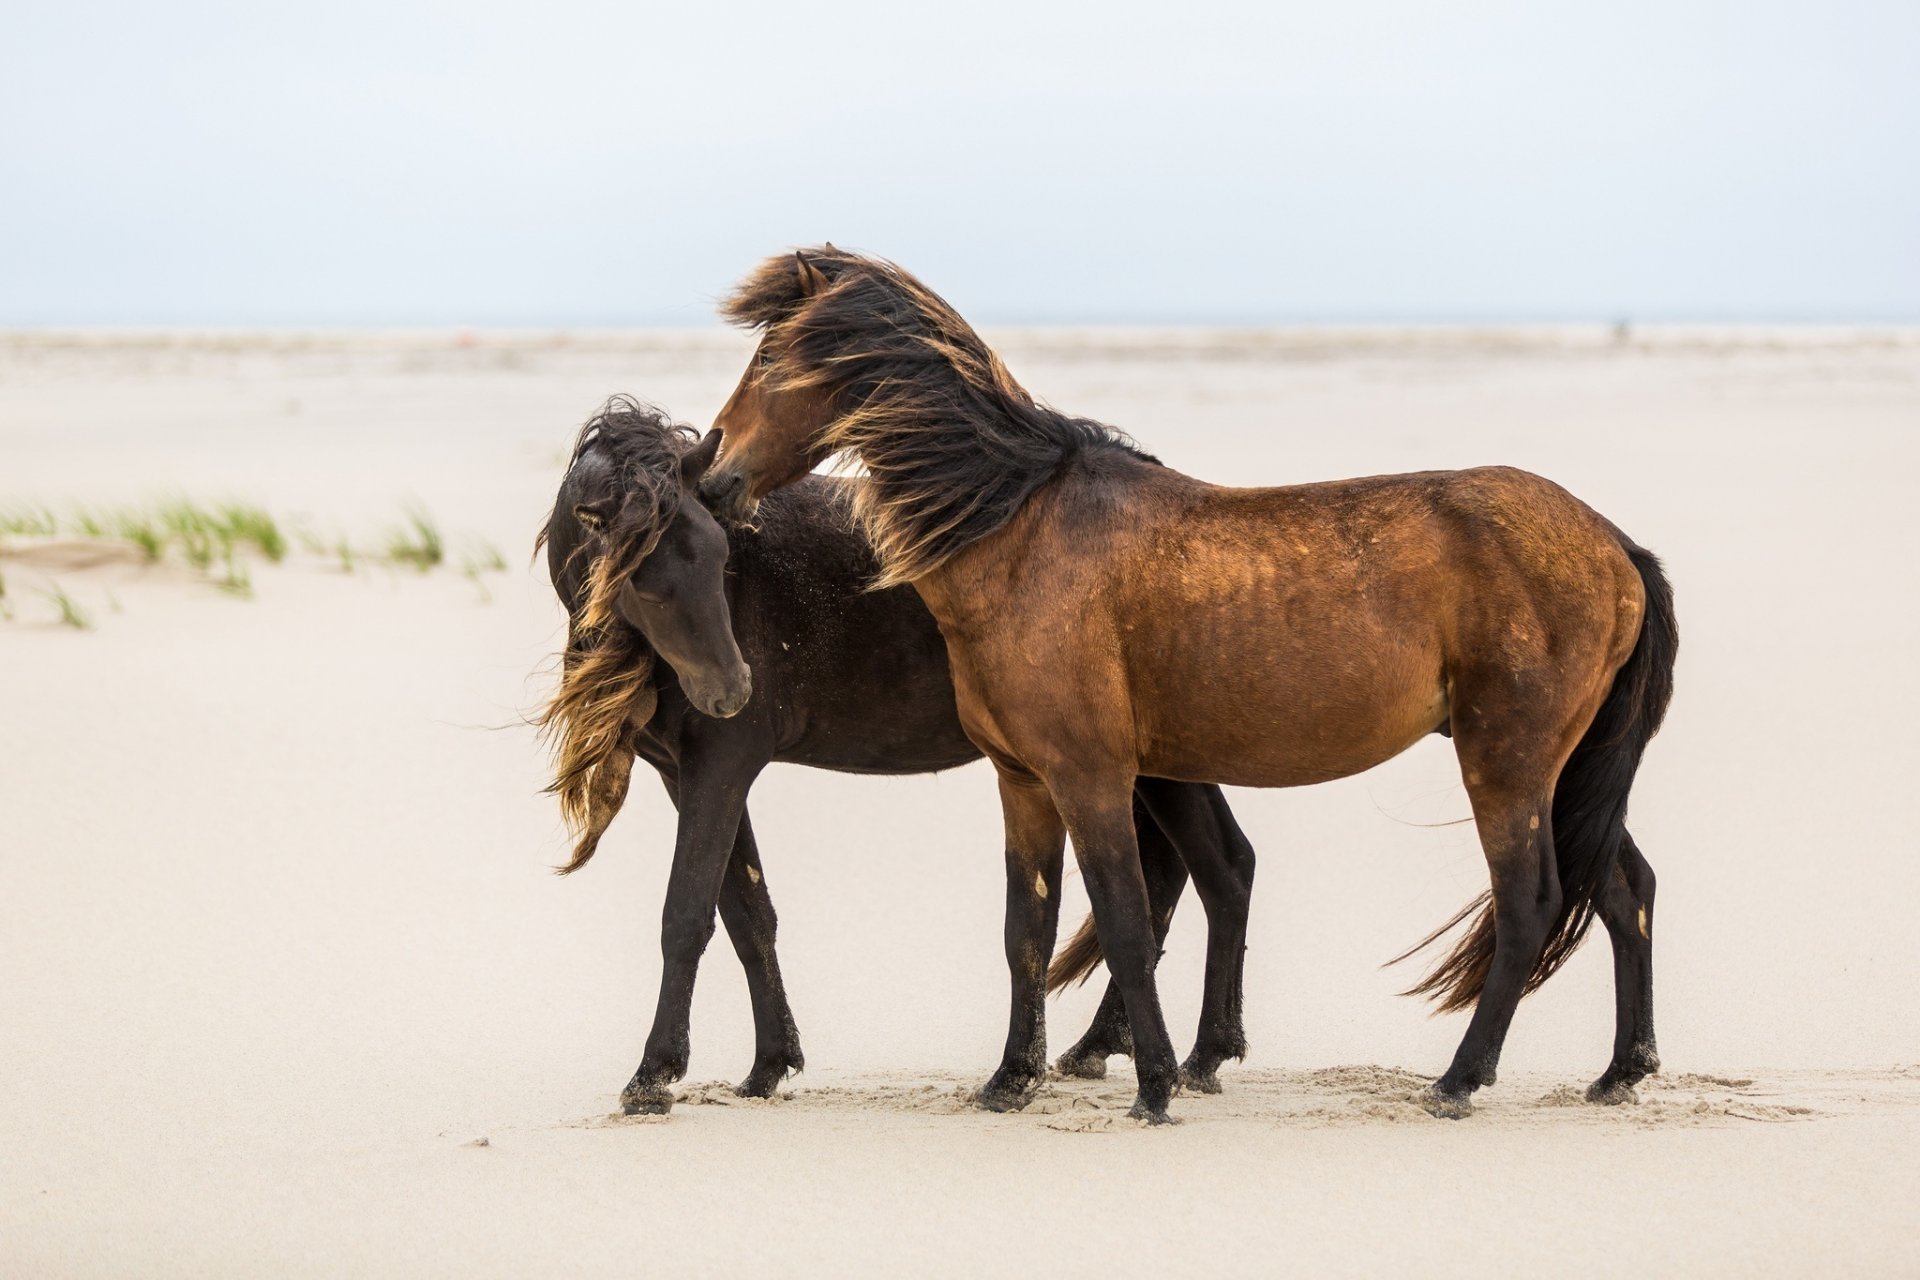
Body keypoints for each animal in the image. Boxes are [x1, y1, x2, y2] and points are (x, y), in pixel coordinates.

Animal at [541, 397, 1259, 1113]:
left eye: (721, 558)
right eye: (645, 581)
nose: (732, 690)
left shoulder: (721, 766)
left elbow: (687, 915)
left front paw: (652, 1076)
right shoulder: (686, 774)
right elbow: (747, 914)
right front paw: (769, 1064)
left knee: (1211, 870)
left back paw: (1186, 1055)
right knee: (1204, 868)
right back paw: (1132, 1050)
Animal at [706, 242, 1681, 1120]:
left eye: (769, 359)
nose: (711, 472)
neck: (1020, 530)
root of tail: (1613, 544)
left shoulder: (1091, 779)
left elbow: (1126, 924)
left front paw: (1153, 1087)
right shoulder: (1023, 782)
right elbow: (1027, 934)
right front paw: (1010, 1081)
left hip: (1506, 765)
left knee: (1531, 902)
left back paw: (1458, 1081)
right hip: (1567, 773)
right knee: (1623, 890)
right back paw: (1619, 1073)